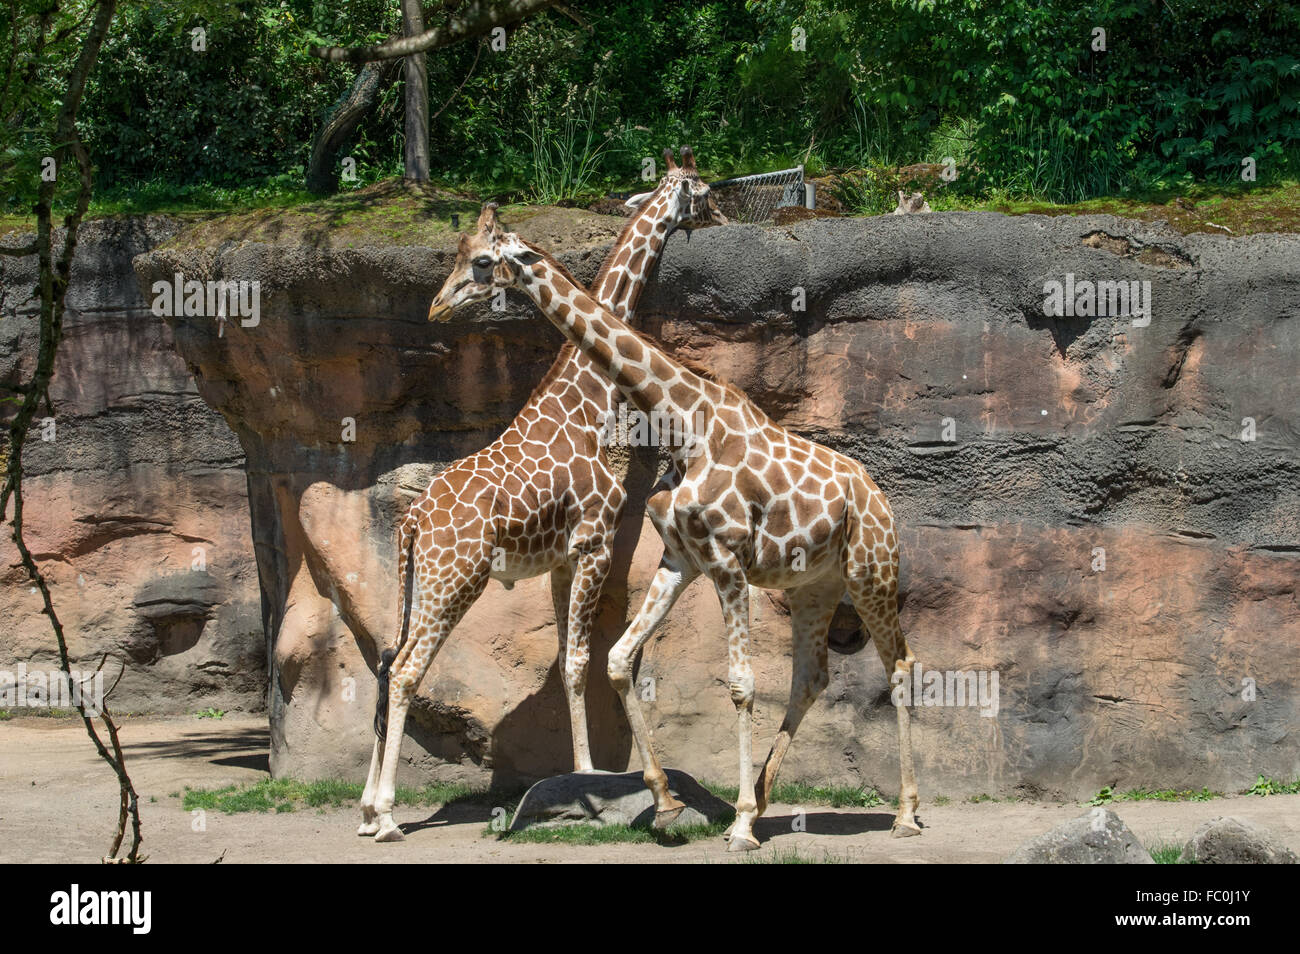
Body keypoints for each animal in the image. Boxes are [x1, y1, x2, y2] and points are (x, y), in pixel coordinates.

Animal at [359, 149, 727, 842]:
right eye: (704, 188)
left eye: (474, 258)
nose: (436, 308)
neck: (586, 398)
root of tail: (412, 520)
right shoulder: (595, 543)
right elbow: (583, 659)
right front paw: (594, 783)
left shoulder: (559, 560)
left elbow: (563, 662)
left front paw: (580, 779)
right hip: (457, 579)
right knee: (408, 669)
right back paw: (389, 814)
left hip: (414, 582)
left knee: (388, 658)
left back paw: (366, 809)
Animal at [427, 206, 923, 852]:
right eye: (458, 252)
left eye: (483, 262)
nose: (437, 307)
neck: (682, 422)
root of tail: (880, 497)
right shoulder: (680, 559)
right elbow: (618, 660)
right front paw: (666, 802)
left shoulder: (729, 560)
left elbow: (740, 683)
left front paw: (739, 826)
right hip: (815, 587)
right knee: (811, 677)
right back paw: (768, 797)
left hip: (871, 572)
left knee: (900, 665)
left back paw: (904, 812)